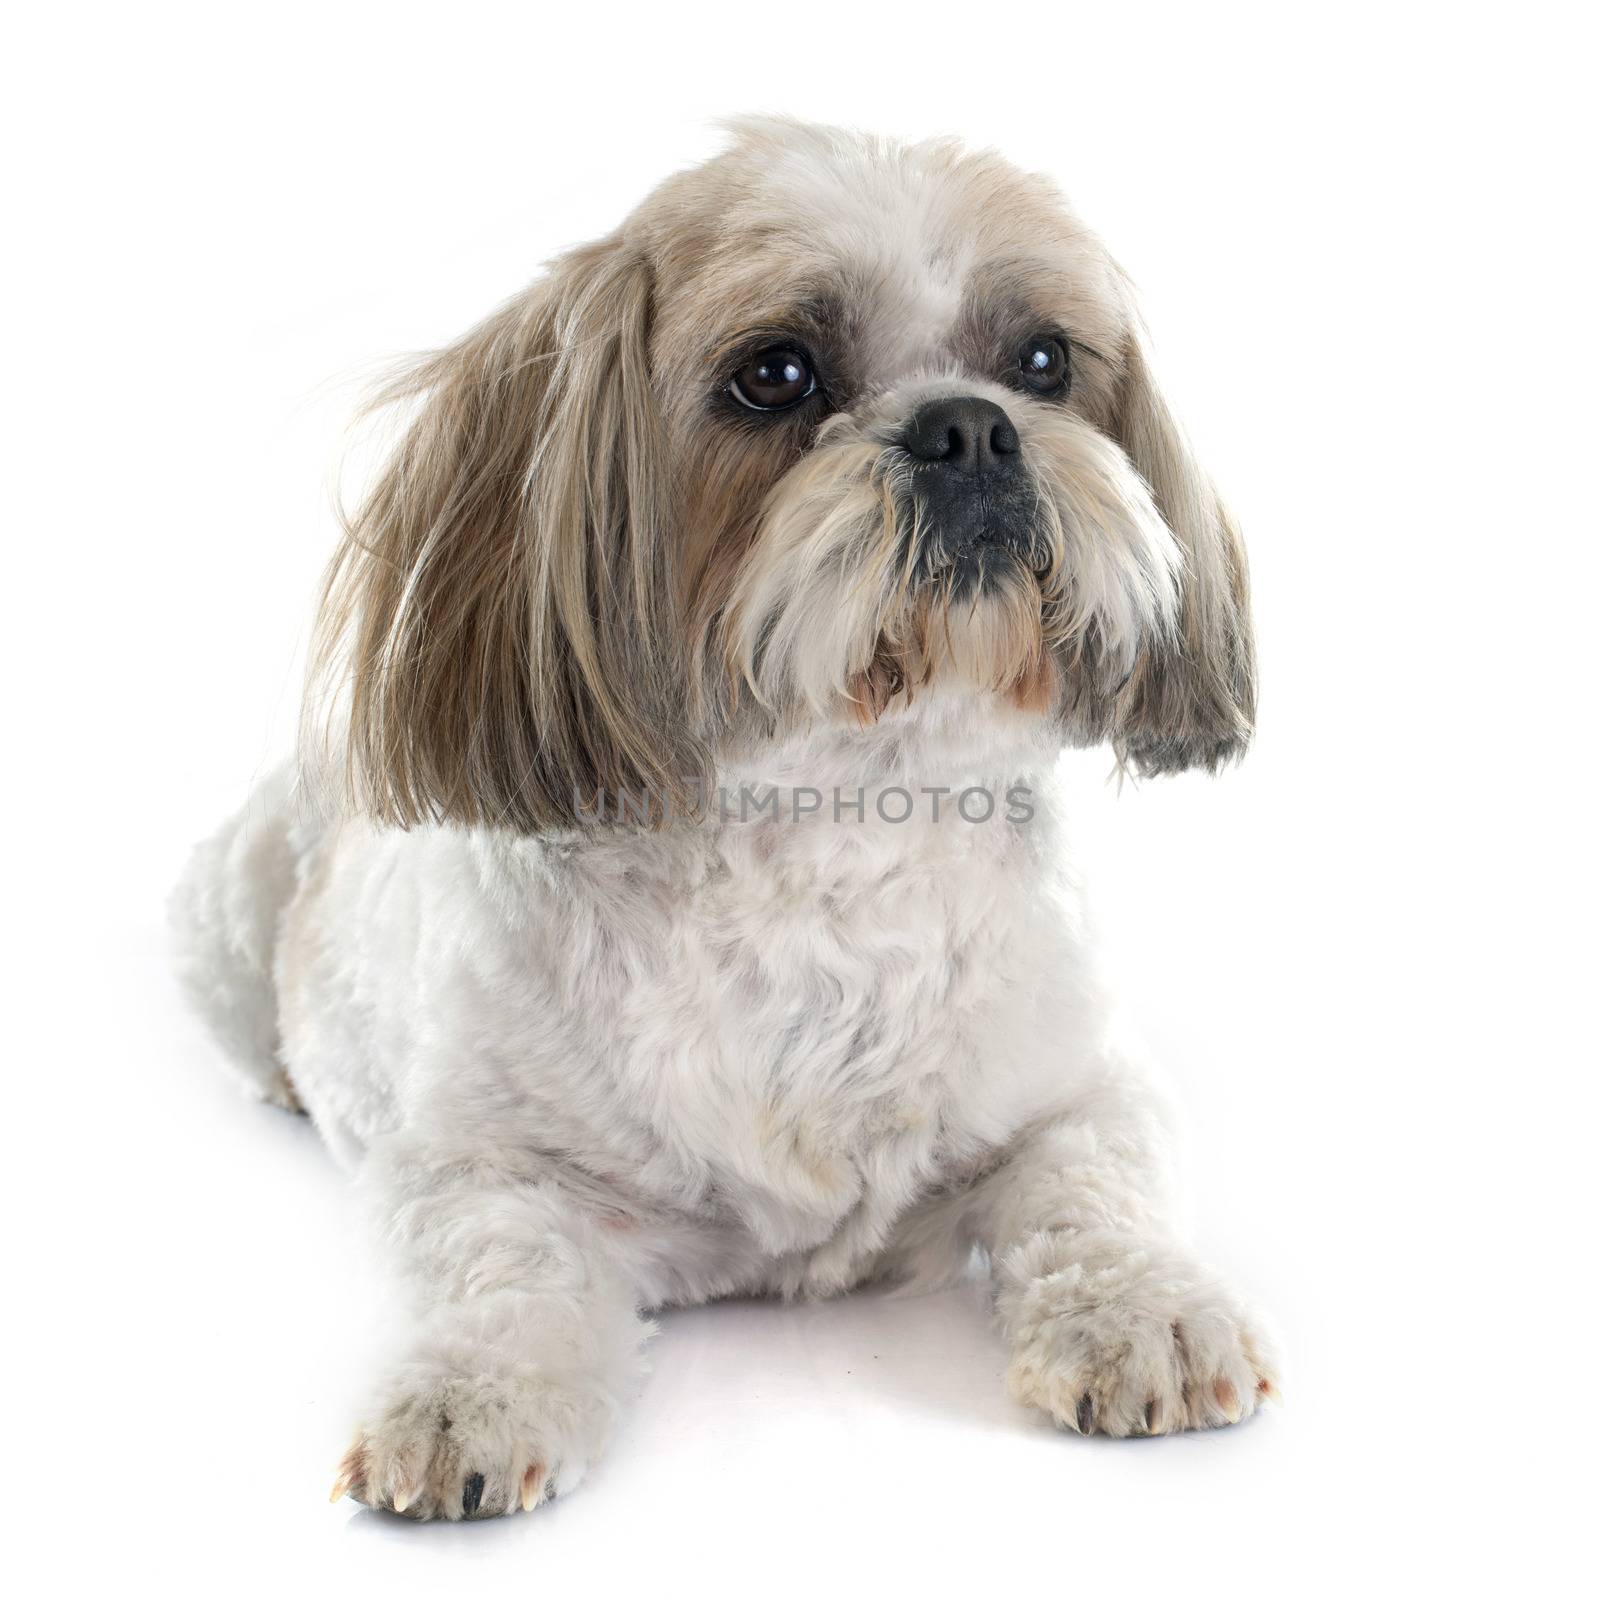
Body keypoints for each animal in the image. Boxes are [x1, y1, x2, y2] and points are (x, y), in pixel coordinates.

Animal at [172, 118, 1273, 1516]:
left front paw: (1146, 1313)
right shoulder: (474, 1161)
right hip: (222, 916)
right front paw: (470, 1396)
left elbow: (1095, 1188)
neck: (835, 822)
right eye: (776, 374)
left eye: (1041, 360)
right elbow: (501, 1269)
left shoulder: (1082, 1085)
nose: (967, 427)